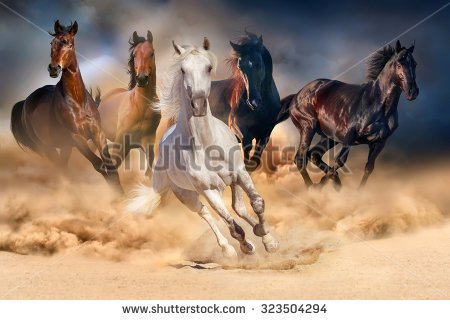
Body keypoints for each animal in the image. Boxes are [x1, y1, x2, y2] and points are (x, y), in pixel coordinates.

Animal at [10, 21, 122, 191]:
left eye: (69, 44)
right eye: (52, 43)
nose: (53, 68)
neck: (78, 101)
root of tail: (25, 103)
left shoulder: (98, 134)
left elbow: (110, 167)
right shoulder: (77, 138)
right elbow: (99, 165)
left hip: (65, 146)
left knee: (63, 166)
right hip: (47, 148)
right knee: (61, 169)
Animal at [98, 30, 160, 178]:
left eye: (151, 53)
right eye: (134, 54)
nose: (142, 78)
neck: (141, 107)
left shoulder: (148, 142)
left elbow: (149, 173)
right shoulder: (120, 142)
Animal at [208, 30, 280, 170]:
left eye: (259, 64)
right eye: (240, 67)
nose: (254, 102)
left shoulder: (265, 134)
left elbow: (255, 159)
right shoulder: (239, 130)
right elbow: (247, 153)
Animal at [278, 41, 418, 189]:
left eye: (414, 64)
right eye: (399, 64)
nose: (413, 92)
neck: (379, 106)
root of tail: (297, 95)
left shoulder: (380, 142)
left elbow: (369, 167)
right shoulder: (349, 137)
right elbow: (340, 161)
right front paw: (322, 186)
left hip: (329, 137)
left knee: (314, 155)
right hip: (308, 128)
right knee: (300, 158)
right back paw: (313, 187)